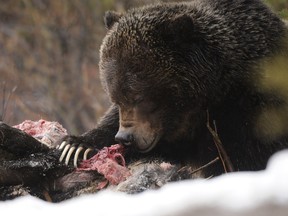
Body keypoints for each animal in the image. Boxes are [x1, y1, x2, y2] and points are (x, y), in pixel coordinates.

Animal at [59, 0, 288, 177]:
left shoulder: (250, 113)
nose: (125, 137)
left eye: (140, 97)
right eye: (115, 97)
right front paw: (75, 146)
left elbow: (244, 160)